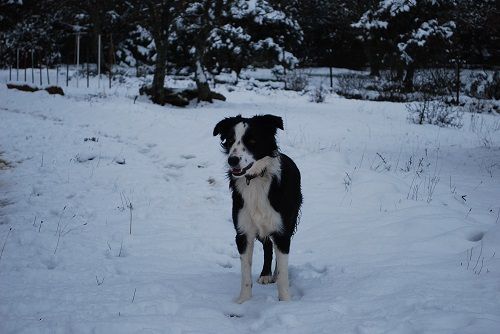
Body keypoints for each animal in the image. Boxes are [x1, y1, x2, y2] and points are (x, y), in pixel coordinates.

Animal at [213, 115, 302, 302]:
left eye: (252, 141)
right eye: (230, 140)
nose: (232, 160)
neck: (254, 179)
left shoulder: (282, 231)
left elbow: (283, 272)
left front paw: (285, 302)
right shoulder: (243, 232)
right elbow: (245, 273)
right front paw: (243, 301)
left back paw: (273, 274)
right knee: (268, 246)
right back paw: (266, 274)